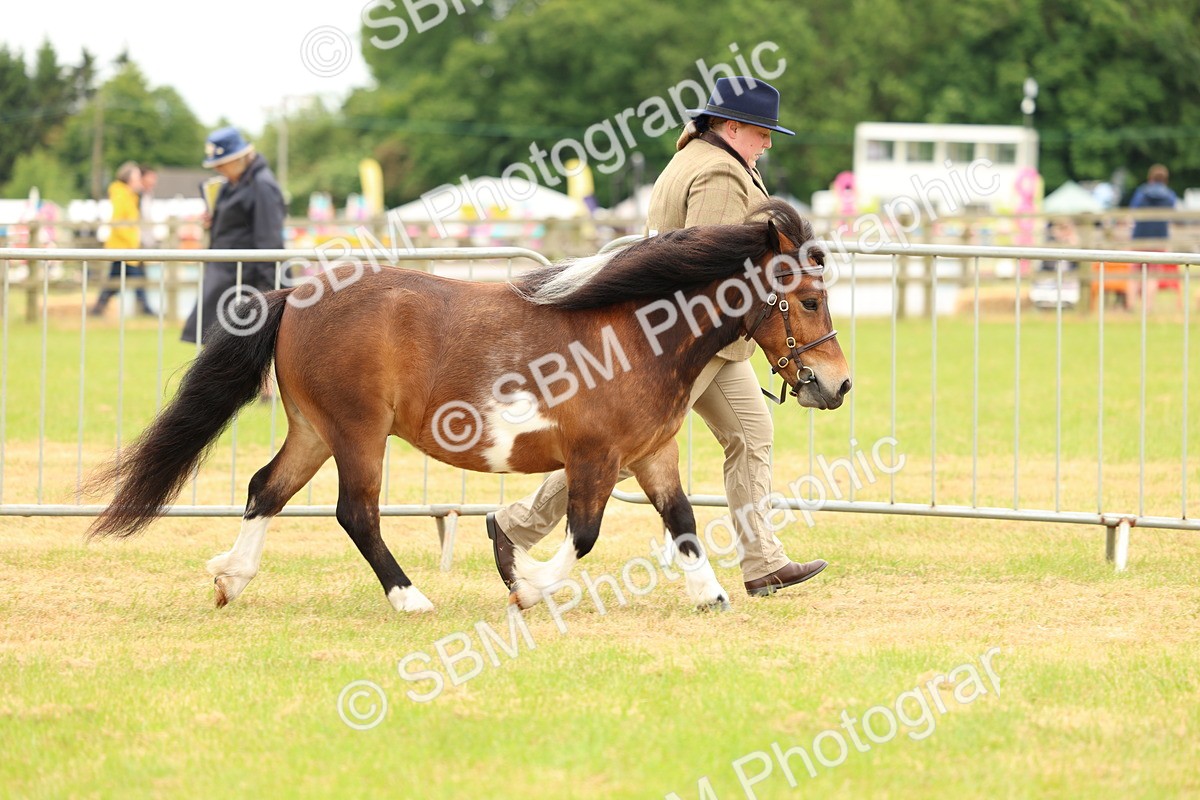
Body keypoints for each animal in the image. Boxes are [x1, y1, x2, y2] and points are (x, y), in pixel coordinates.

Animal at [89, 200, 851, 614]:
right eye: (811, 299)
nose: (838, 385)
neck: (636, 331)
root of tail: (294, 297)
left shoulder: (649, 453)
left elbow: (684, 520)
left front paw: (711, 594)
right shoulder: (595, 458)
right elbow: (584, 534)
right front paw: (527, 585)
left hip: (313, 430)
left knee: (264, 490)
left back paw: (231, 578)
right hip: (358, 434)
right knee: (355, 513)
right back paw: (410, 597)